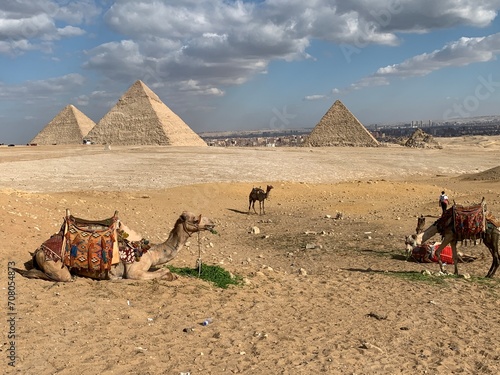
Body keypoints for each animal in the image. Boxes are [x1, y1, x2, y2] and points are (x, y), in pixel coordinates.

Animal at [15, 212, 215, 282]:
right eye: (195, 220)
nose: (211, 223)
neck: (151, 252)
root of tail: (40, 249)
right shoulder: (134, 272)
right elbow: (163, 271)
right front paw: (169, 276)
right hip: (56, 265)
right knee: (59, 277)